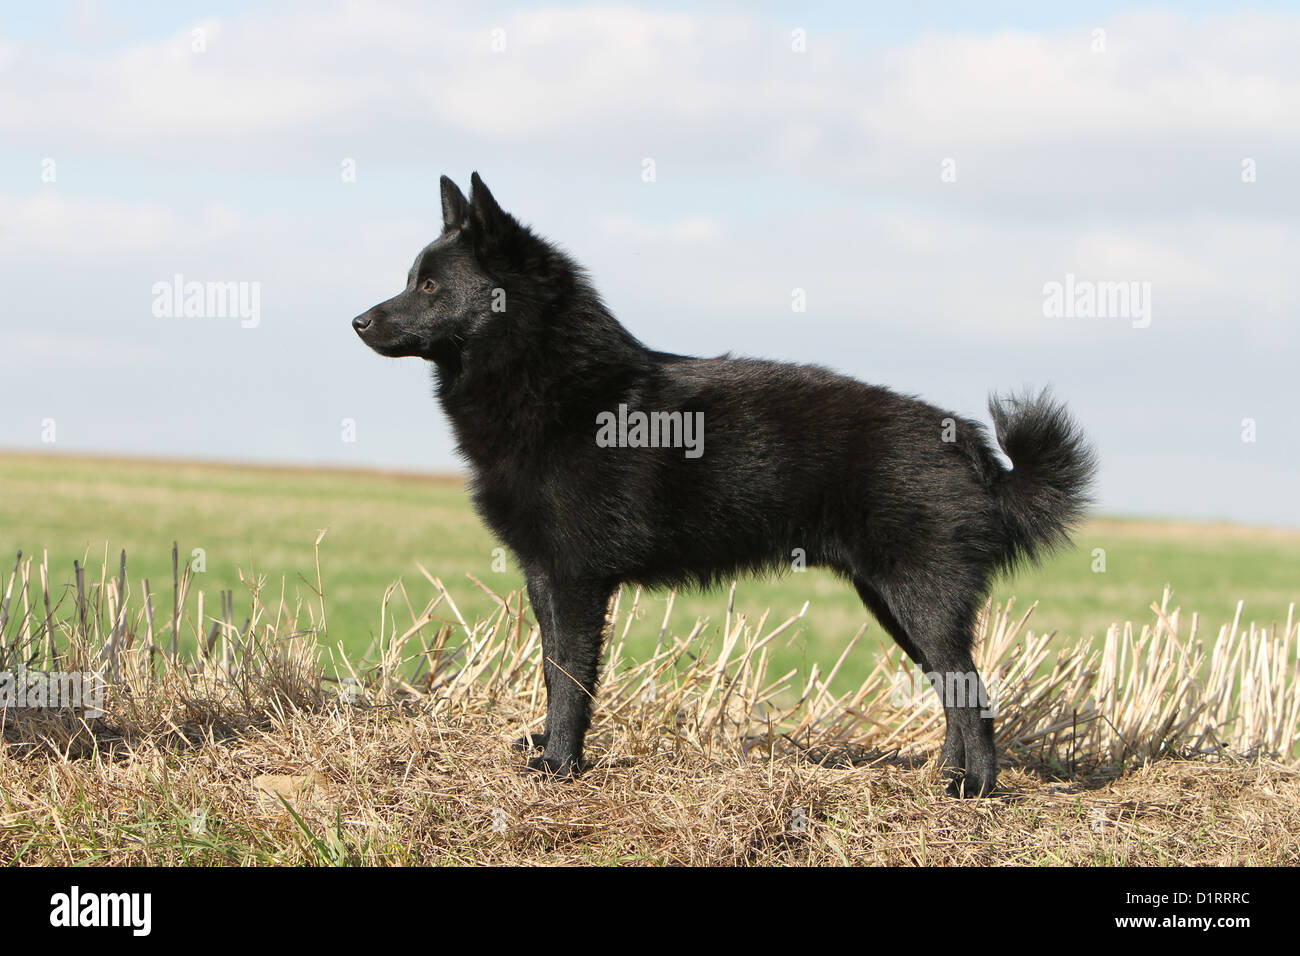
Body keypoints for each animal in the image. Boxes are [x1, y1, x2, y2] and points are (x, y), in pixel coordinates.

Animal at [356, 174, 1097, 801]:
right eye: (412, 280)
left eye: (430, 286)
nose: (359, 321)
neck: (562, 388)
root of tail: (972, 445)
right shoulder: (544, 575)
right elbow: (551, 670)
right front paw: (546, 751)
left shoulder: (575, 580)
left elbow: (570, 679)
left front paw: (561, 766)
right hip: (894, 602)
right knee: (952, 687)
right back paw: (942, 776)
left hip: (922, 599)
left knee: (972, 693)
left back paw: (976, 787)